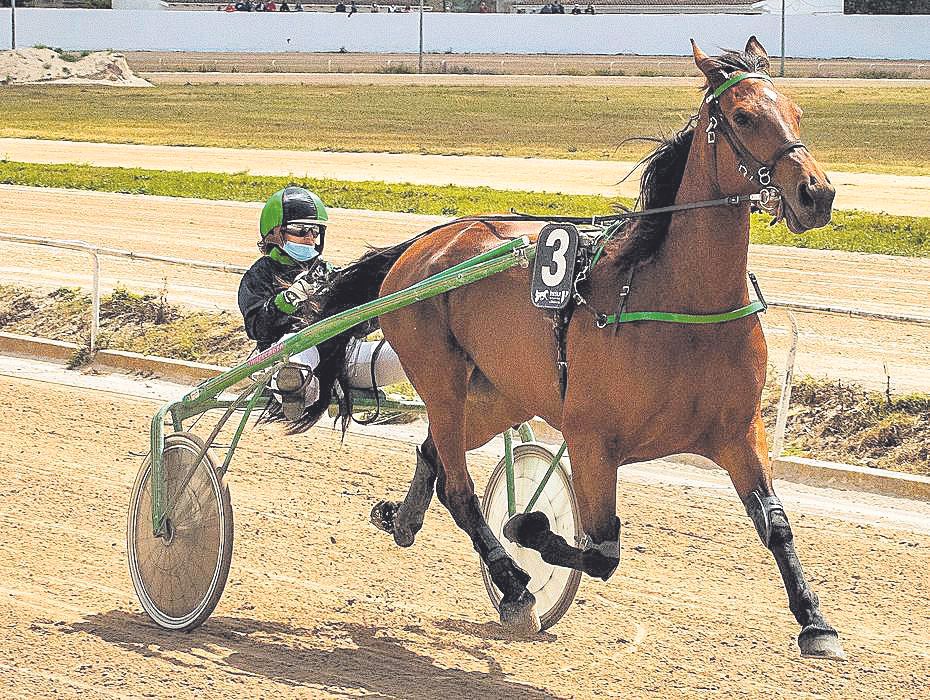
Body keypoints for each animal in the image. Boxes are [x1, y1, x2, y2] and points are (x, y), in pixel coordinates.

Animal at [310, 37, 840, 660]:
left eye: (798, 113)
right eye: (742, 116)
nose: (816, 194)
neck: (684, 304)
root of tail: (425, 244)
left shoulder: (738, 430)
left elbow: (775, 525)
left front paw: (815, 621)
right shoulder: (592, 439)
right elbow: (602, 550)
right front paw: (529, 529)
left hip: (501, 395)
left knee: (435, 457)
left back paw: (404, 518)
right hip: (440, 381)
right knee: (460, 489)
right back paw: (514, 585)